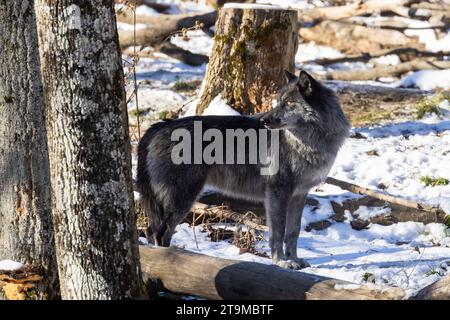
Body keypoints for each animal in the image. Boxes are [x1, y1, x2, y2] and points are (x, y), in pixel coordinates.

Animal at [135, 70, 350, 270]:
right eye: (278, 102)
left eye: (288, 103)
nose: (263, 121)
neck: (306, 142)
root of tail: (158, 126)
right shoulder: (277, 193)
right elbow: (278, 232)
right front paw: (281, 262)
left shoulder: (299, 194)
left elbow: (293, 232)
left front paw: (294, 260)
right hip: (182, 198)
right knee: (159, 232)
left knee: (152, 230)